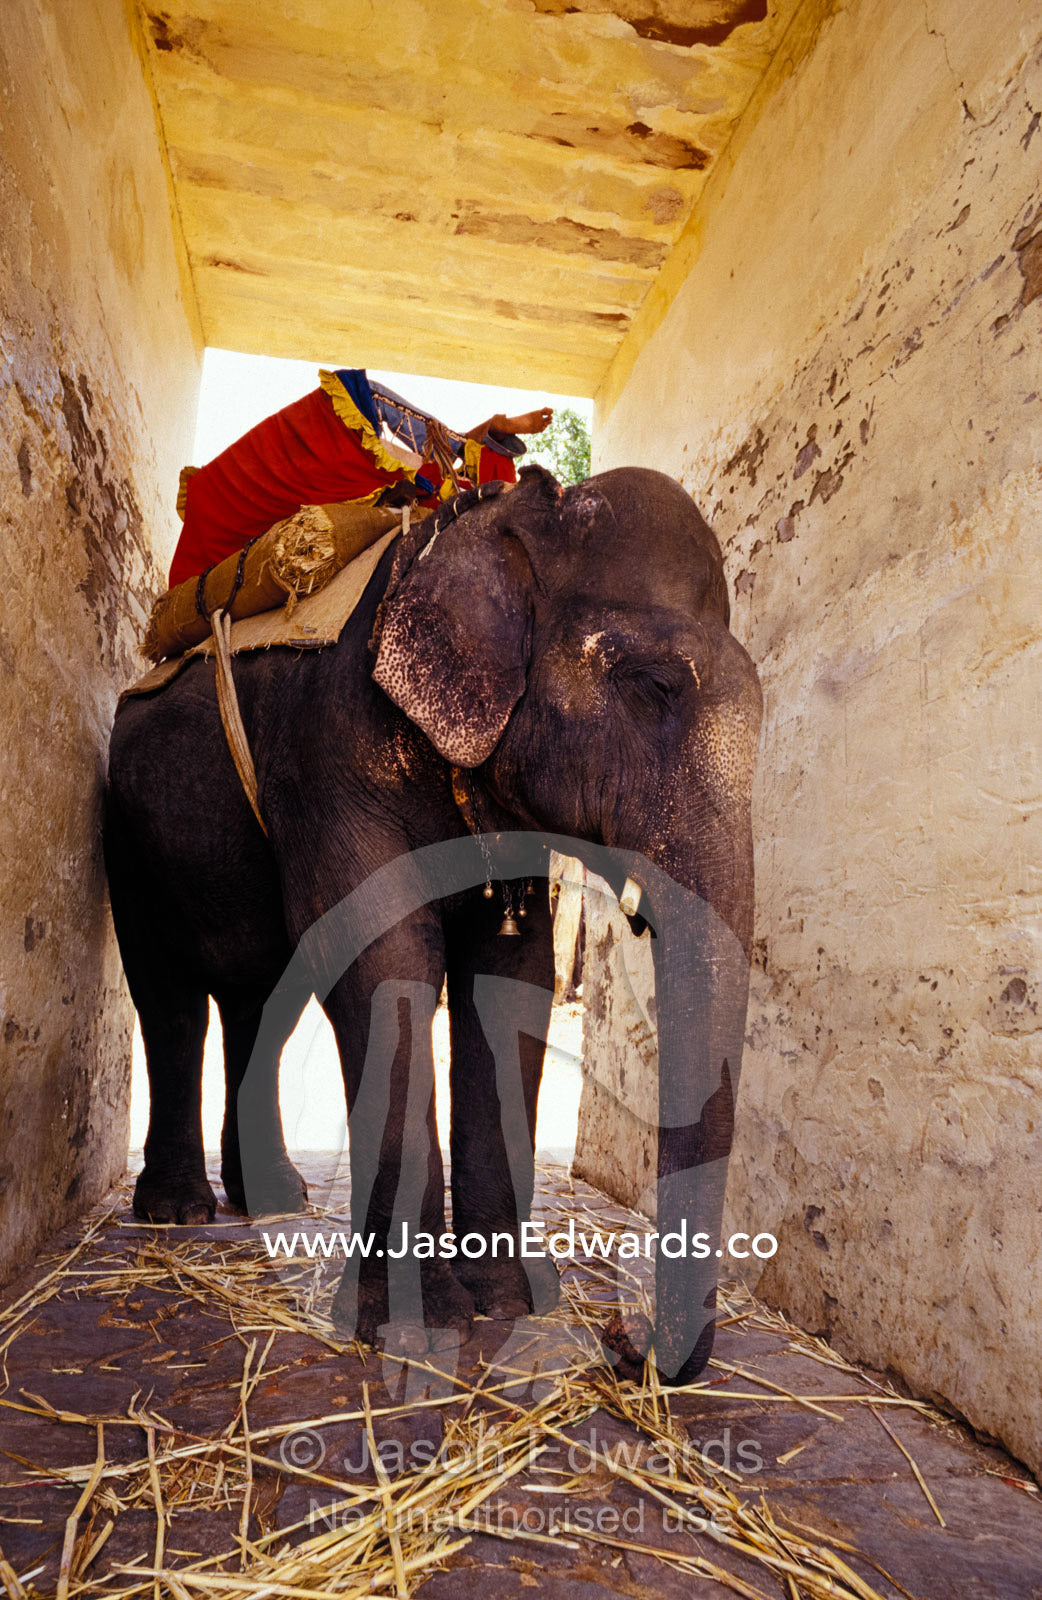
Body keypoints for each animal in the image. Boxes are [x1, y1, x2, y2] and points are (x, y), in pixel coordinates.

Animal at [104, 464, 761, 1381]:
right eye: (656, 687)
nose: (623, 1343)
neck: (493, 521)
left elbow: (510, 978)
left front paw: (512, 1304)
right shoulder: (330, 751)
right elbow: (382, 955)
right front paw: (421, 1327)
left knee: (261, 1004)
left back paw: (271, 1201)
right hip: (125, 830)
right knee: (169, 999)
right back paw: (180, 1213)